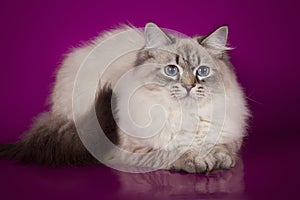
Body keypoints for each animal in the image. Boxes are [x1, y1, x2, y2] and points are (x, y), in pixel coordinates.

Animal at [0, 22, 248, 173]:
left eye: (202, 71)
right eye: (171, 70)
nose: (188, 86)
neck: (185, 116)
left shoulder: (227, 138)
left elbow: (222, 149)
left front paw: (218, 159)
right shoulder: (134, 151)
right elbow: (174, 152)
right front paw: (196, 160)